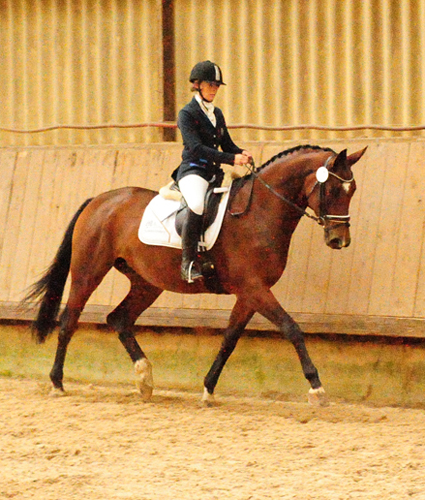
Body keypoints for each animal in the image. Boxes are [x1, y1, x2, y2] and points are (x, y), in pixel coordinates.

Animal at [22, 145, 364, 406]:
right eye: (334, 188)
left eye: (353, 190)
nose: (340, 241)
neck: (259, 212)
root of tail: (99, 200)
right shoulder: (254, 288)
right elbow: (292, 328)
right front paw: (317, 387)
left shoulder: (250, 293)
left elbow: (229, 339)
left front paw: (208, 389)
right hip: (89, 270)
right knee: (70, 319)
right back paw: (57, 383)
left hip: (147, 282)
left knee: (118, 319)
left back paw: (145, 380)